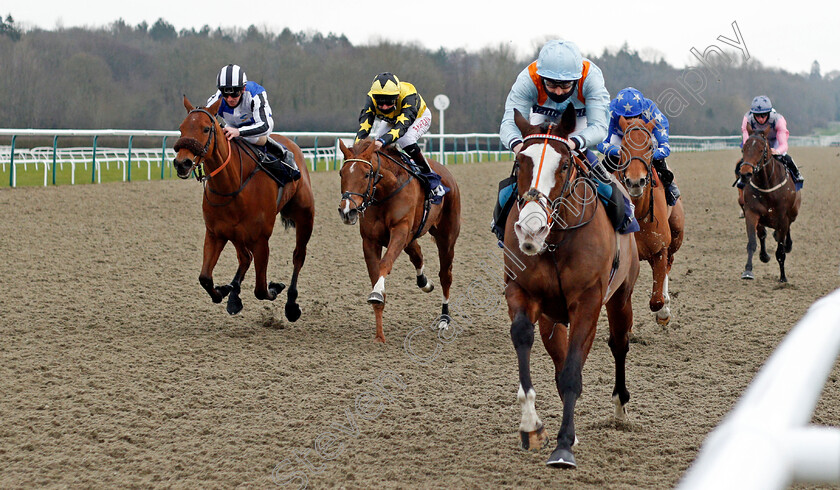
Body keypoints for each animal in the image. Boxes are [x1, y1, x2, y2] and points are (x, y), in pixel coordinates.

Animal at [173, 96, 316, 320]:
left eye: (206, 129)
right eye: (181, 128)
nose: (182, 163)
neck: (232, 184)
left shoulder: (261, 239)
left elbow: (261, 289)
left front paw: (275, 287)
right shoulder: (216, 232)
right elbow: (205, 277)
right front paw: (224, 291)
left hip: (304, 216)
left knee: (298, 256)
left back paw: (291, 305)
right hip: (236, 233)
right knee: (244, 258)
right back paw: (233, 296)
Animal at [338, 140, 462, 342]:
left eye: (366, 174)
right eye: (341, 173)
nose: (347, 211)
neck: (385, 191)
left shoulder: (400, 231)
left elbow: (385, 263)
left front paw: (376, 294)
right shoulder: (371, 240)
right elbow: (376, 276)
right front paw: (379, 336)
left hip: (446, 238)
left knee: (445, 275)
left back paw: (444, 318)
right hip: (411, 238)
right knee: (418, 256)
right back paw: (424, 283)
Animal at [502, 106, 640, 468]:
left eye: (564, 165)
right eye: (520, 162)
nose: (531, 229)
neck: (556, 241)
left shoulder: (588, 301)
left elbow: (572, 372)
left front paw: (563, 445)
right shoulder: (522, 291)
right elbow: (524, 337)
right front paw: (532, 427)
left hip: (620, 297)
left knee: (619, 343)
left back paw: (620, 409)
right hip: (553, 317)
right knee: (559, 355)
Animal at [612, 117, 684, 326]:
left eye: (651, 147)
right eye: (623, 147)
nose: (636, 181)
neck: (639, 213)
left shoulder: (660, 248)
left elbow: (656, 300)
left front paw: (663, 312)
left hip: (676, 235)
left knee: (668, 264)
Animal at [740, 124, 804, 282]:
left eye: (761, 150)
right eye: (744, 149)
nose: (745, 174)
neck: (766, 185)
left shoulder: (783, 218)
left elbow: (780, 251)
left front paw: (783, 277)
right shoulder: (751, 212)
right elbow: (752, 242)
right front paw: (748, 270)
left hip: (793, 213)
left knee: (787, 230)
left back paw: (788, 244)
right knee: (762, 234)